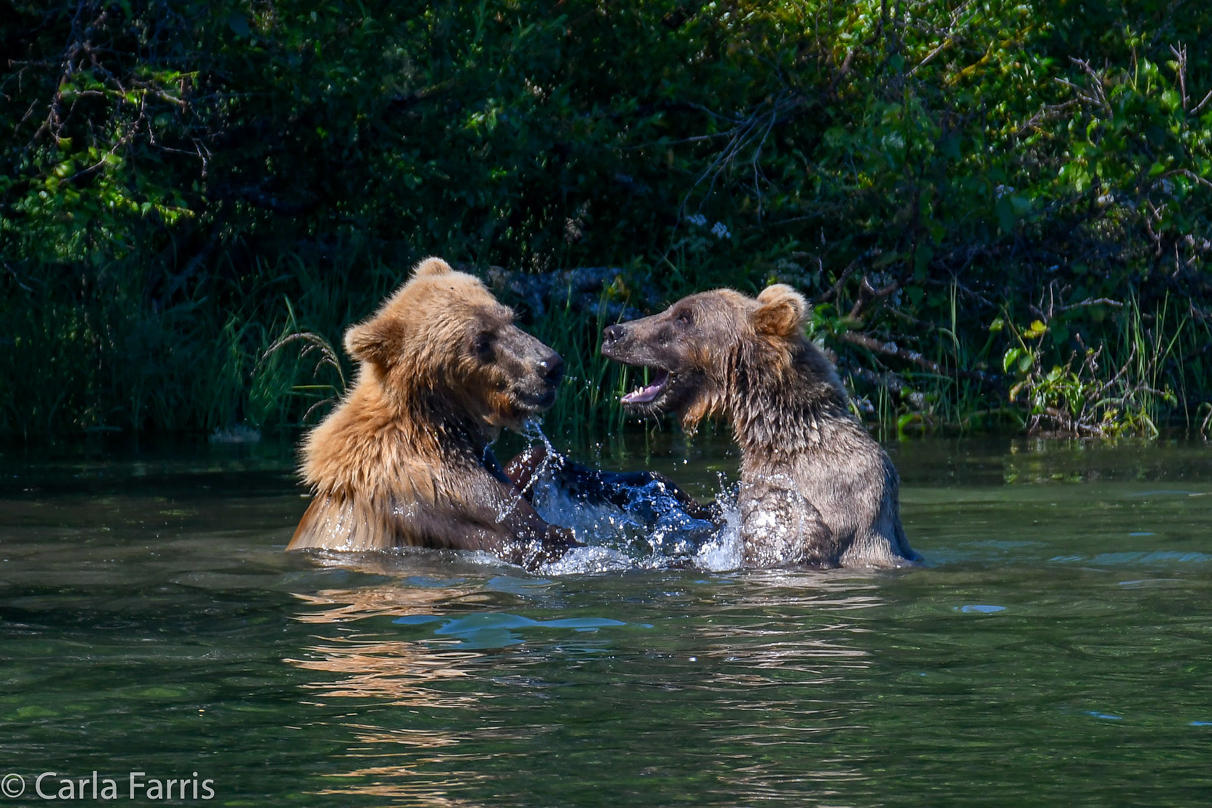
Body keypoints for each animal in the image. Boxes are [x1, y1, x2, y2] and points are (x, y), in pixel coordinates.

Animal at [290, 258, 579, 569]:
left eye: (510, 317)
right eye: (480, 341)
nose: (550, 365)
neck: (435, 424)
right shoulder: (450, 498)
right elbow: (528, 530)